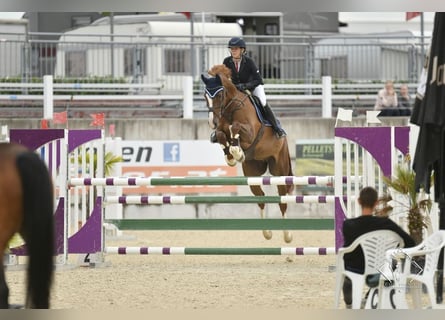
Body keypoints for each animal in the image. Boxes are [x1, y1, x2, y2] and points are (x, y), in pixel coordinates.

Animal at [202, 63, 294, 242]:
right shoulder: (220, 131)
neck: (230, 107)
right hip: (252, 173)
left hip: (279, 169)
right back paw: (267, 233)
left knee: (282, 199)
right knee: (261, 198)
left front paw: (236, 151)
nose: (212, 122)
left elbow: (235, 127)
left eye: (220, 94)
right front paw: (232, 155)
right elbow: (221, 135)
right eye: (205, 96)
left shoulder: (250, 133)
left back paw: (287, 235)